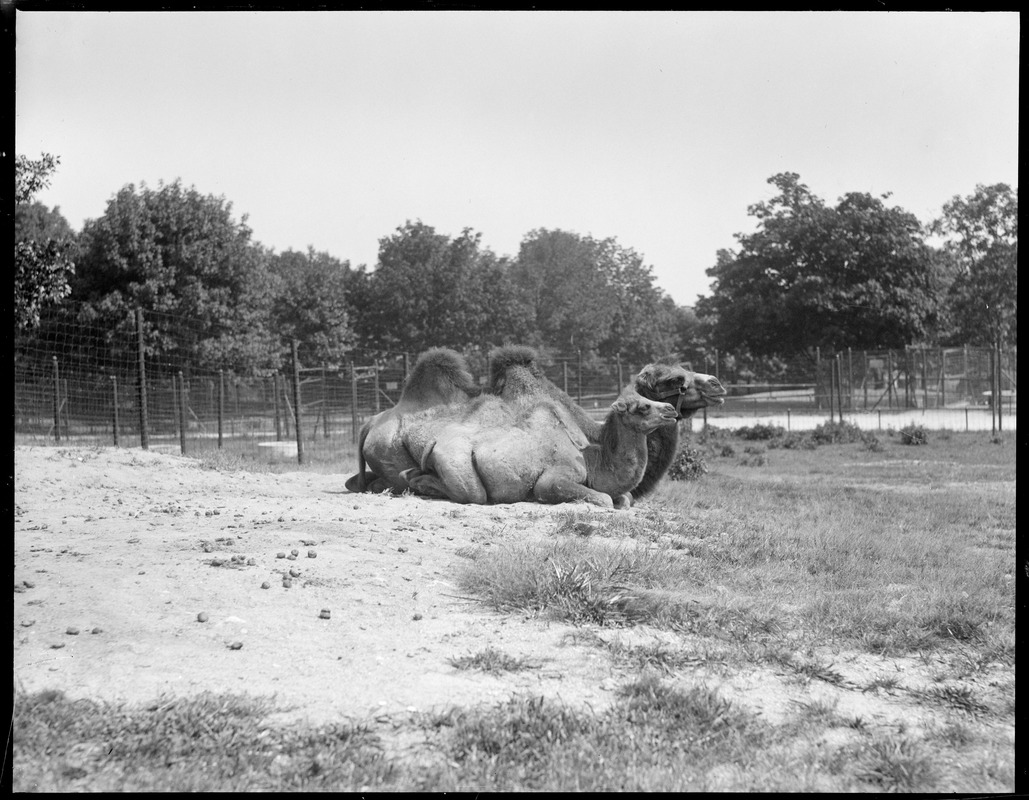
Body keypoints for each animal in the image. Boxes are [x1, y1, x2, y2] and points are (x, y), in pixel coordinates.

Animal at [401, 383, 683, 508]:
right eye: (643, 407)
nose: (671, 409)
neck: (592, 462)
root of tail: (434, 440)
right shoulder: (554, 479)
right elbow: (603, 499)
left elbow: (624, 498)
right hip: (459, 464)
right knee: (473, 495)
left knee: (413, 474)